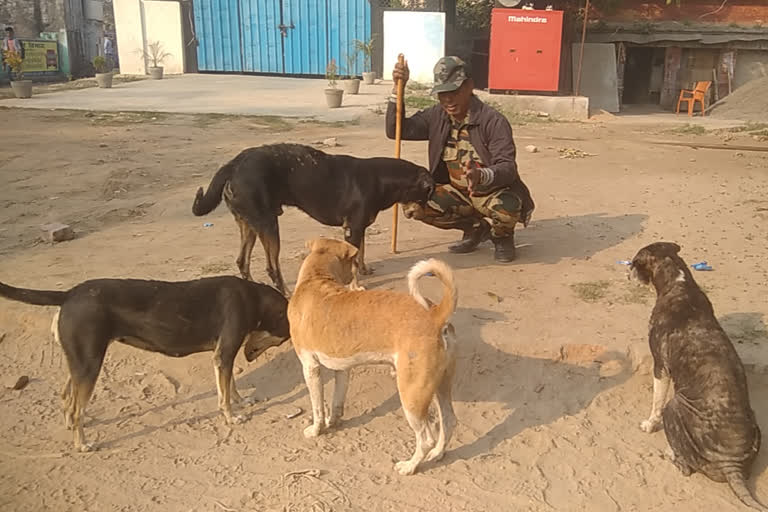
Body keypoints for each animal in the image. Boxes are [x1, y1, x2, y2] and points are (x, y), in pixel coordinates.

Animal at [0, 276, 292, 452]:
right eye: (281, 339)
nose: (250, 355)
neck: (253, 297)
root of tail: (70, 293)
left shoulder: (225, 354)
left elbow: (230, 385)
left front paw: (241, 401)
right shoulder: (225, 352)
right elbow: (224, 397)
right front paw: (232, 417)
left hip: (80, 361)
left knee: (66, 397)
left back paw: (74, 426)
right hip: (90, 363)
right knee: (75, 407)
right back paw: (82, 444)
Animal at [190, 144, 436, 296]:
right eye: (426, 195)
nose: (422, 214)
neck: (380, 179)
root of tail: (235, 163)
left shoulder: (359, 227)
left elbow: (361, 254)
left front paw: (365, 269)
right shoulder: (353, 228)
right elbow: (354, 262)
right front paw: (355, 285)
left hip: (249, 224)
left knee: (243, 261)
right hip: (268, 224)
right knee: (272, 267)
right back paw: (286, 293)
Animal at [286, 238, 456, 474]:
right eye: (352, 261)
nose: (357, 275)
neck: (315, 279)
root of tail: (436, 314)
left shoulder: (310, 367)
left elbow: (318, 406)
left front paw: (316, 430)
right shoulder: (342, 369)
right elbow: (336, 402)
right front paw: (333, 422)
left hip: (411, 394)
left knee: (426, 439)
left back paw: (409, 466)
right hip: (440, 385)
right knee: (449, 421)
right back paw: (438, 454)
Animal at [632, 243, 760, 508]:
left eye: (635, 262)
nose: (628, 272)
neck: (677, 282)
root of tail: (732, 464)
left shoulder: (660, 366)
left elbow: (656, 401)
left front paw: (649, 424)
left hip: (673, 407)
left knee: (686, 466)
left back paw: (671, 452)